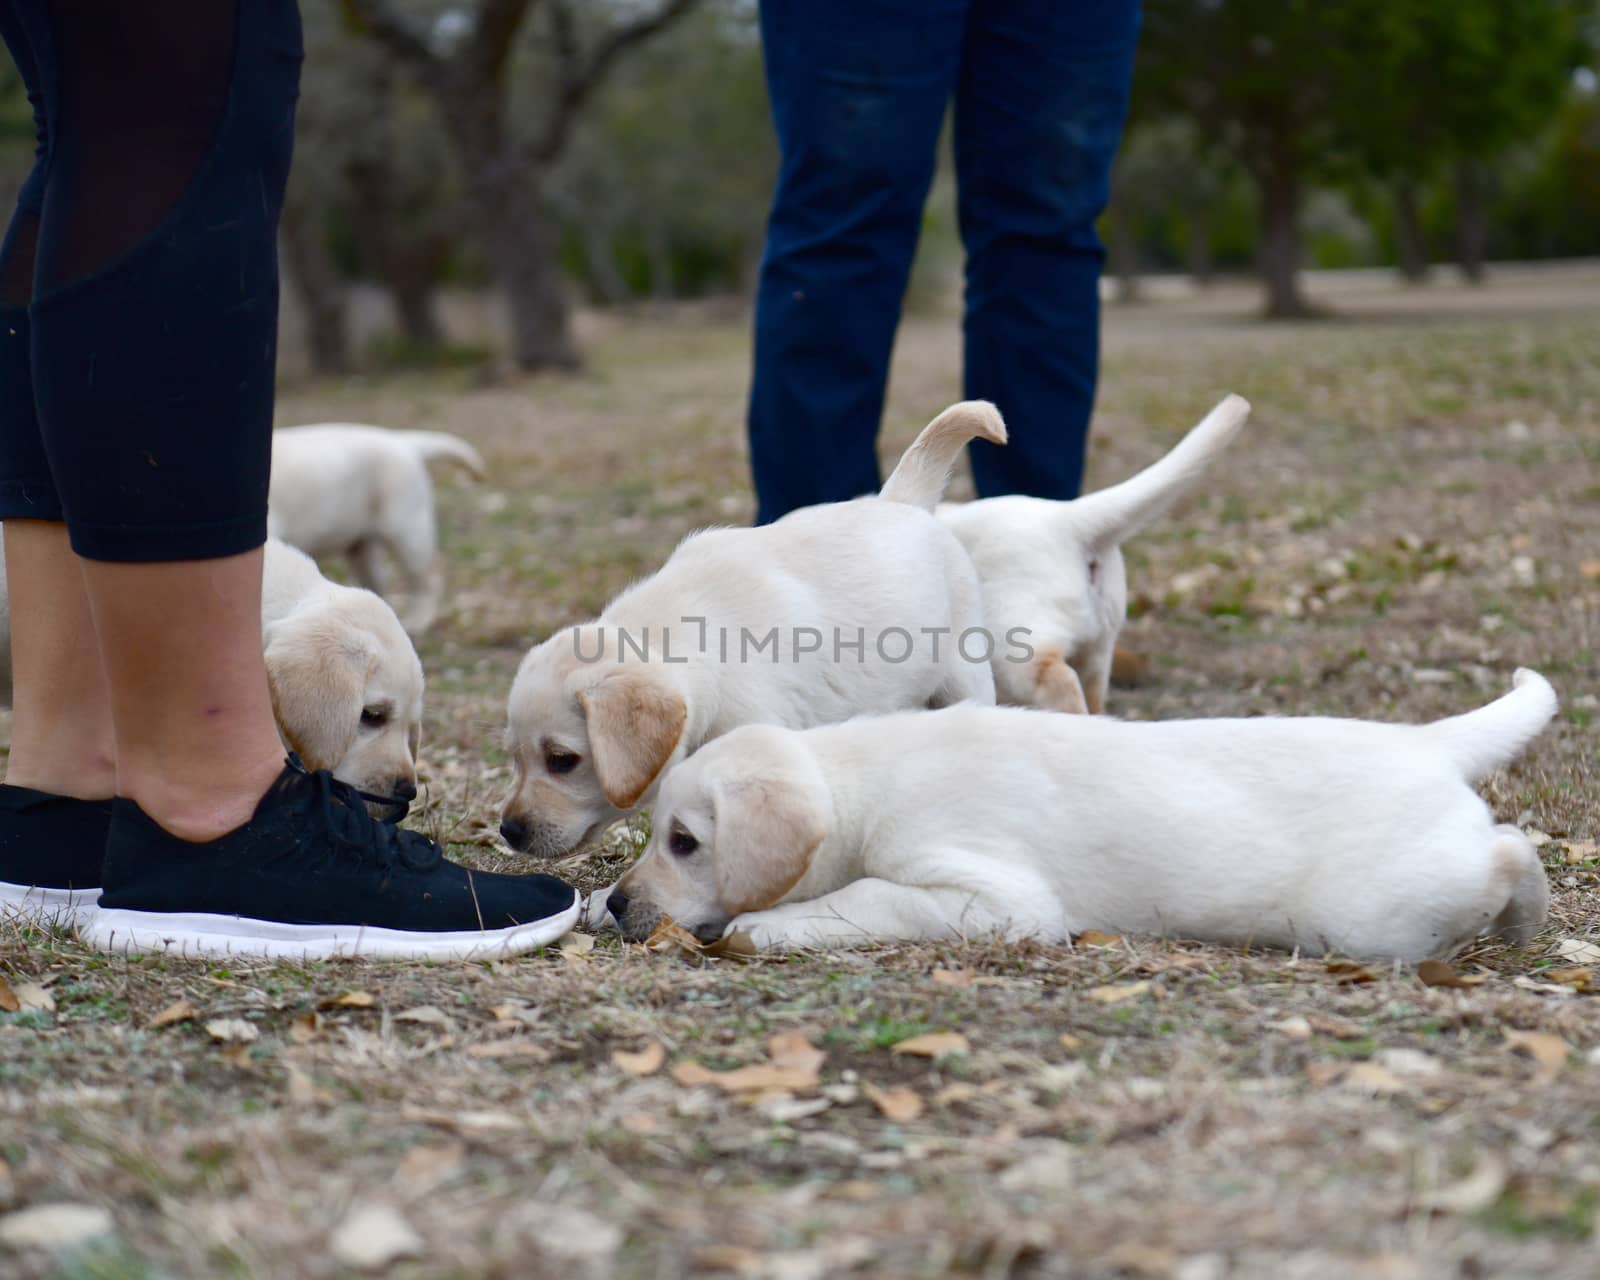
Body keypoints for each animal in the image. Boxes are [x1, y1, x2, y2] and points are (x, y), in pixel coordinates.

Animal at [268, 422, 483, 636]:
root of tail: (402, 441)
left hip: (407, 531)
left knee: (429, 578)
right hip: (361, 546)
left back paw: (418, 620)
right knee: (377, 582)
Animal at [604, 668, 1555, 960]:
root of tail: (1427, 745)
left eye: (685, 843)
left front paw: (764, 927)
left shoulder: (996, 898)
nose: (612, 904)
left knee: (1510, 852)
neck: (860, 776)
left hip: (1368, 918)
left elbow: (864, 897)